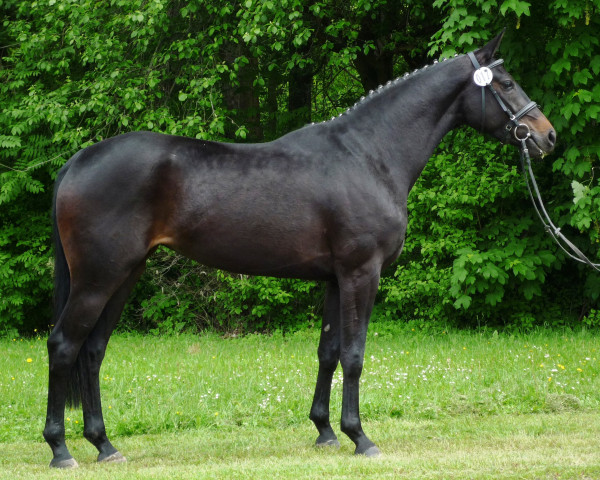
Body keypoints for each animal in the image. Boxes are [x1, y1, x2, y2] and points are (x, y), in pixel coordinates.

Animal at [44, 29, 556, 464]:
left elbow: (327, 351)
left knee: (93, 351)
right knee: (64, 345)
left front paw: (325, 431)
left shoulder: (333, 278)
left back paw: (104, 445)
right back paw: (61, 450)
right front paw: (360, 437)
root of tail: (79, 160)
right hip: (98, 278)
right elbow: (354, 354)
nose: (547, 135)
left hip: (124, 274)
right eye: (506, 83)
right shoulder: (360, 272)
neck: (368, 155)